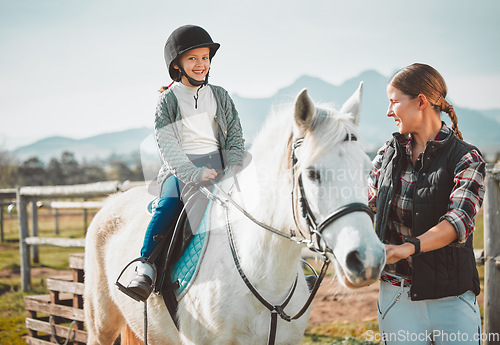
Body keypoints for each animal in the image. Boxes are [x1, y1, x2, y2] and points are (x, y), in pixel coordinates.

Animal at [84, 84, 384, 344]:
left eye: (367, 169)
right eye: (312, 173)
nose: (367, 259)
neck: (262, 272)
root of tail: (111, 202)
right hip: (101, 326)